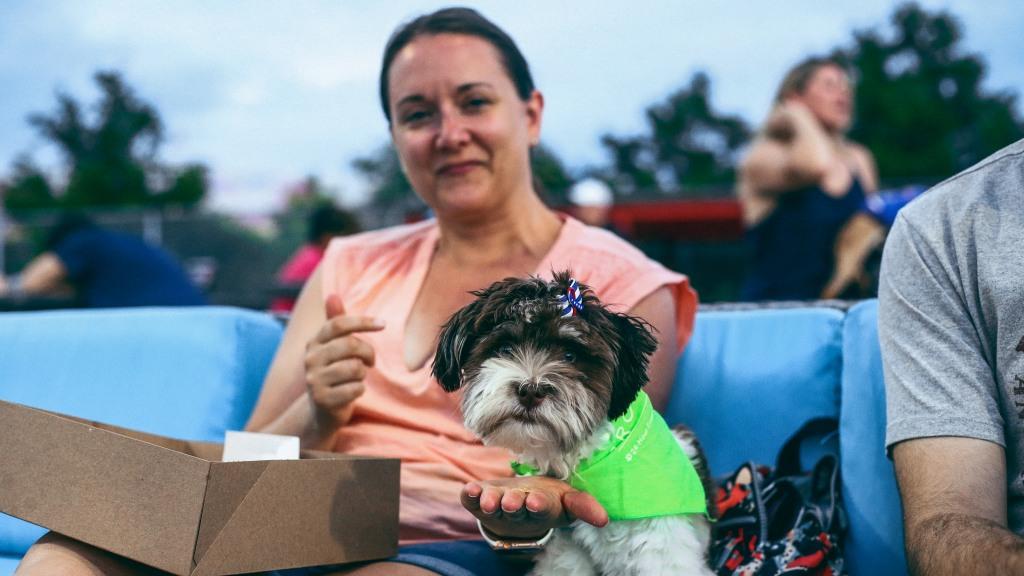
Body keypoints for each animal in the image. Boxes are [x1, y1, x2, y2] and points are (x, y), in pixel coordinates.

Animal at [432, 270, 712, 573]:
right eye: (504, 349)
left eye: (570, 356)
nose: (530, 390)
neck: (588, 459)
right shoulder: (564, 555)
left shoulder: (663, 548)